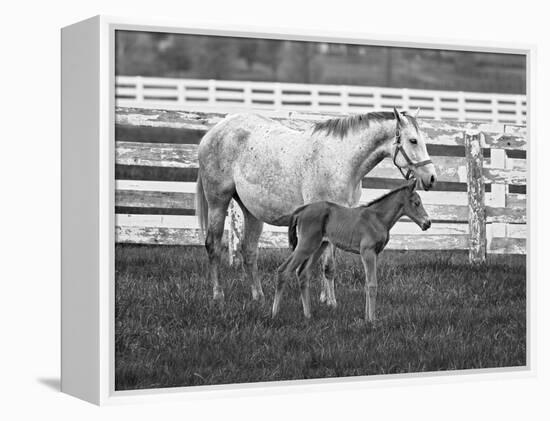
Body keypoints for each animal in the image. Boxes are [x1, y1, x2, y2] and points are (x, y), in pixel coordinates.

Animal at [196, 107, 438, 306]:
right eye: (413, 141)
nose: (432, 178)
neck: (341, 160)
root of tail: (214, 131)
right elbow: (327, 265)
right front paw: (331, 302)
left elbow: (328, 265)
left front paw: (324, 298)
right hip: (218, 202)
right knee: (213, 245)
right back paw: (218, 295)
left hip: (251, 212)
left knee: (249, 251)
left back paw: (259, 296)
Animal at [274, 178, 434, 322]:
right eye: (416, 203)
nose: (428, 223)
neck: (377, 218)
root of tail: (301, 210)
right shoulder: (367, 252)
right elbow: (372, 284)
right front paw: (372, 321)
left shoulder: (375, 253)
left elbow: (367, 284)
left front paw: (366, 318)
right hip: (306, 245)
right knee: (283, 270)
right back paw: (275, 314)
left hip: (319, 246)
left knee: (303, 273)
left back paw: (308, 315)